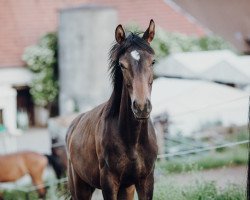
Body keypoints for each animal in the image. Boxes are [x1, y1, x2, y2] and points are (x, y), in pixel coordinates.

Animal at [65, 19, 157, 200]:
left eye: (153, 61)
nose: (141, 107)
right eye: (122, 65)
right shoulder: (109, 183)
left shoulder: (146, 181)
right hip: (80, 188)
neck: (132, 140)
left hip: (126, 189)